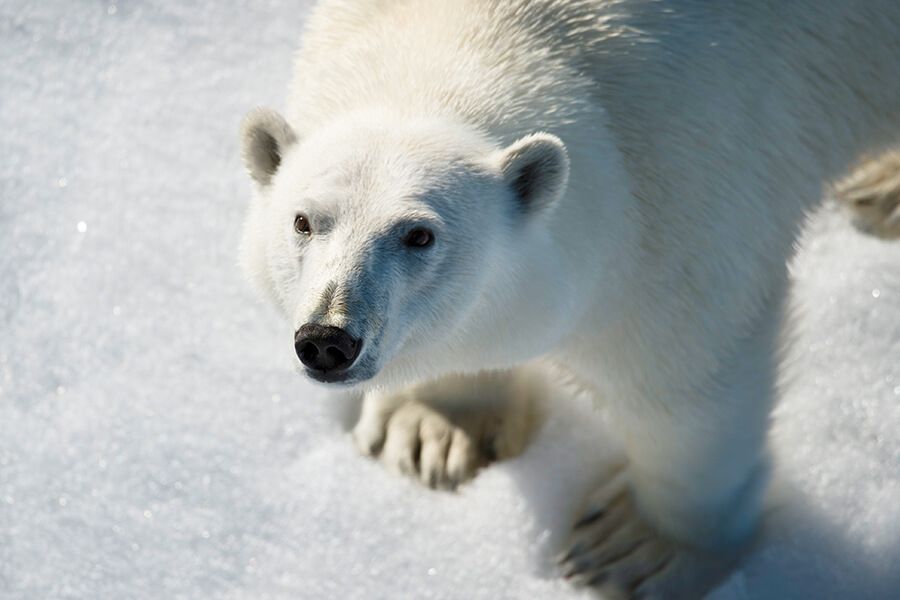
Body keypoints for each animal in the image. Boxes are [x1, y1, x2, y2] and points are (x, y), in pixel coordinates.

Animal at [238, 1, 900, 597]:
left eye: (419, 234)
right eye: (304, 221)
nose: (328, 339)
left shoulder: (687, 191)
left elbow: (693, 378)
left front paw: (638, 548)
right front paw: (433, 427)